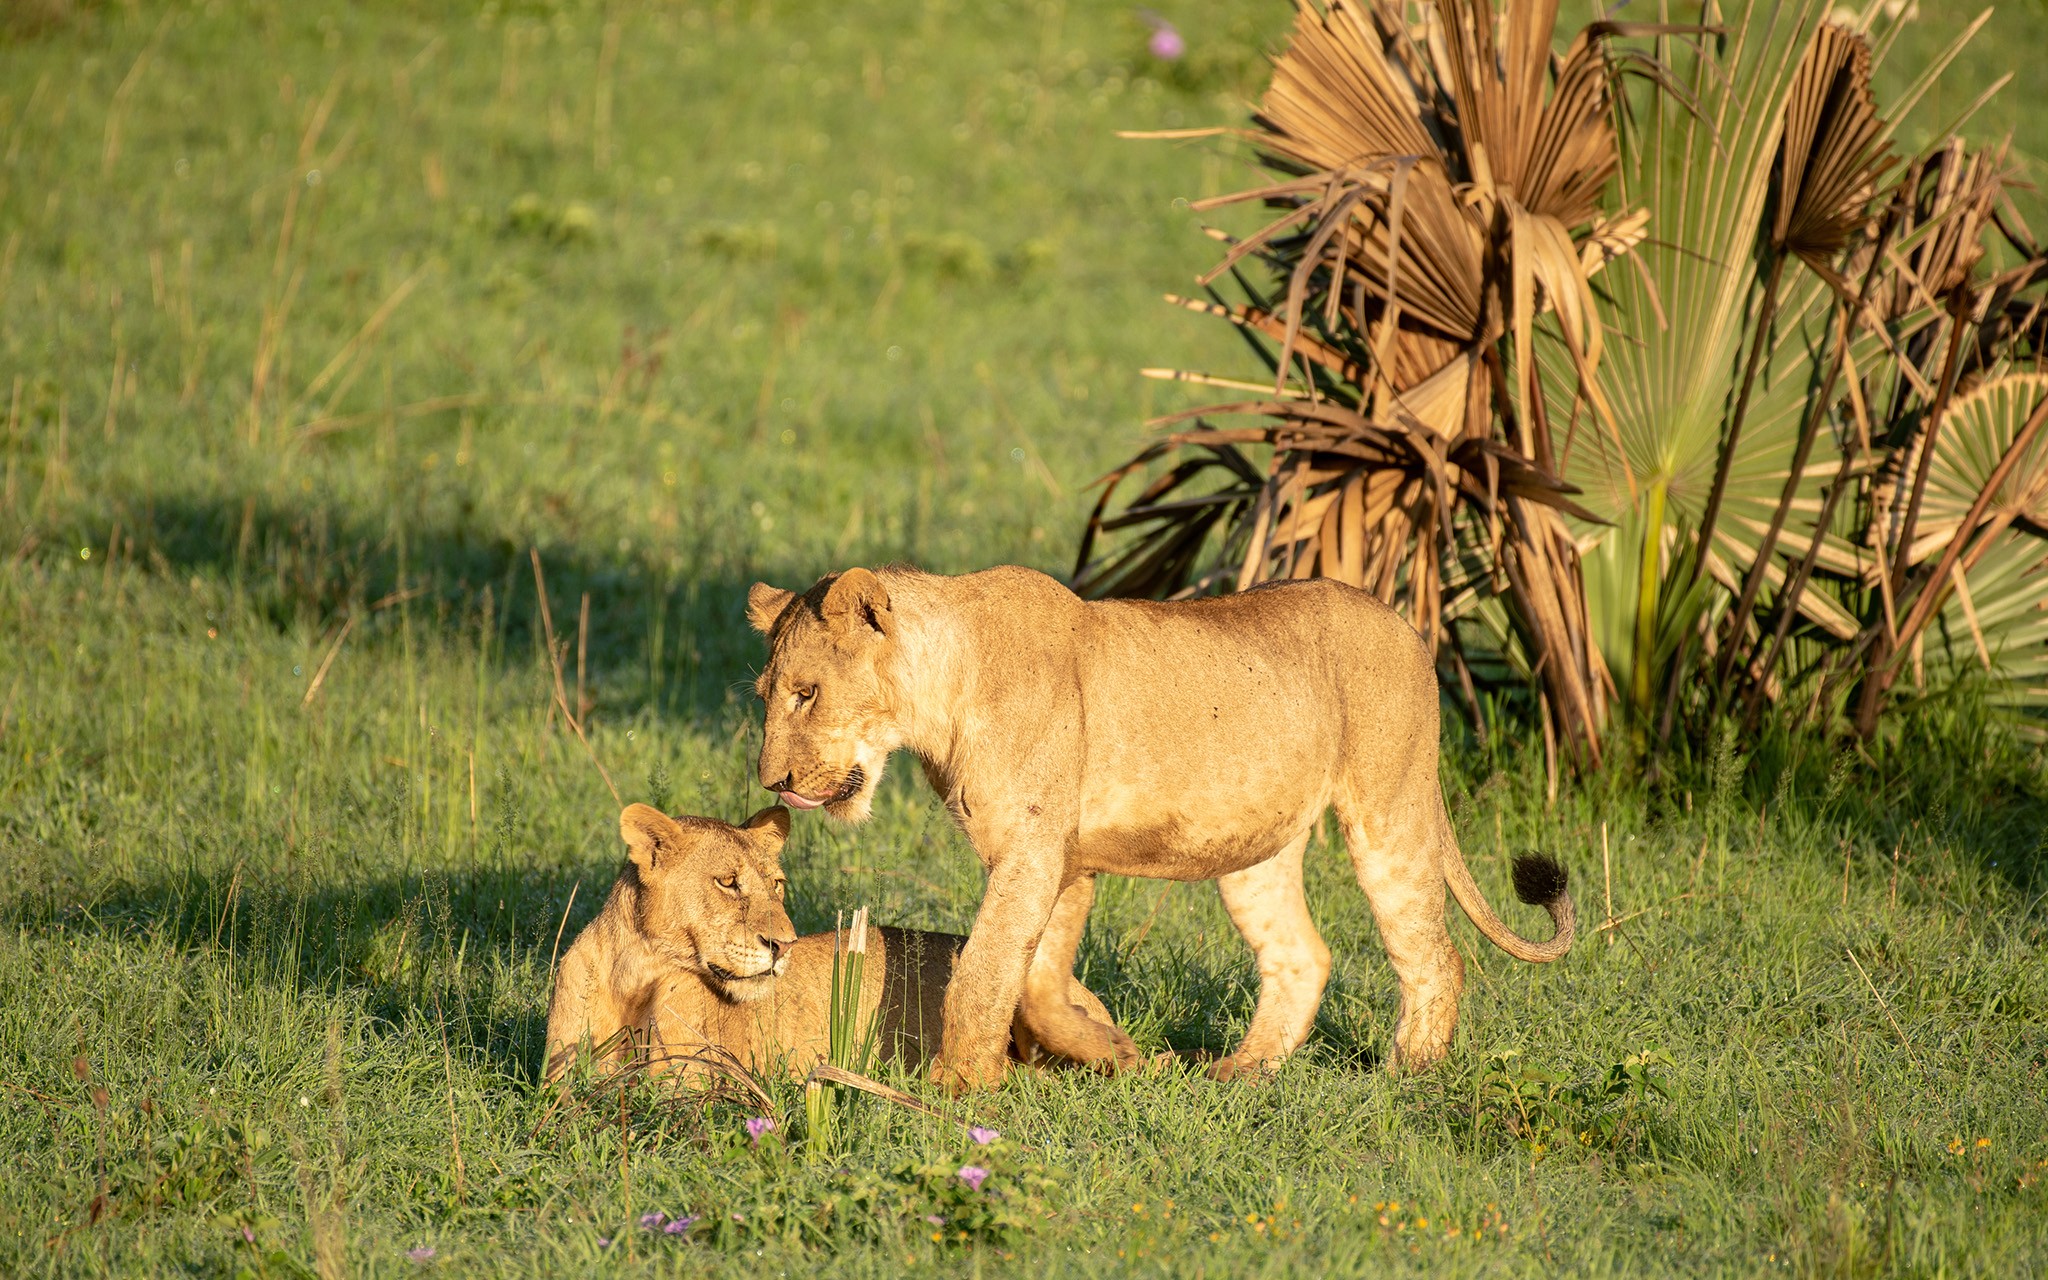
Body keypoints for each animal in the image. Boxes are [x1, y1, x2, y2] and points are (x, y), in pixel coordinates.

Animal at [745, 565, 1574, 1090]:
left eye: (806, 693)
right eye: (765, 694)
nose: (772, 782)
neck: (938, 697)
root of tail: (1404, 623)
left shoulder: (1033, 852)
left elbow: (985, 968)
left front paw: (959, 1086)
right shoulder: (1063, 860)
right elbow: (1036, 979)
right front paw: (1112, 1054)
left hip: (1389, 803)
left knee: (1433, 951)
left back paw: (1410, 1075)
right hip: (1254, 850)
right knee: (1302, 956)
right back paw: (1240, 1073)